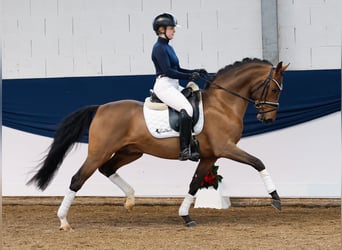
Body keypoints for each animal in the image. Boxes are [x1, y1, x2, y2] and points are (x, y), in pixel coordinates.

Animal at [27, 57, 288, 229]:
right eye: (275, 90)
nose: (268, 119)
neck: (223, 104)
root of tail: (100, 108)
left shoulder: (210, 156)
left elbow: (194, 184)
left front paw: (185, 216)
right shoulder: (226, 148)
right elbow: (258, 162)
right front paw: (276, 199)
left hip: (131, 152)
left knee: (107, 169)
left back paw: (130, 200)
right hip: (99, 152)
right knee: (78, 179)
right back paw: (64, 221)